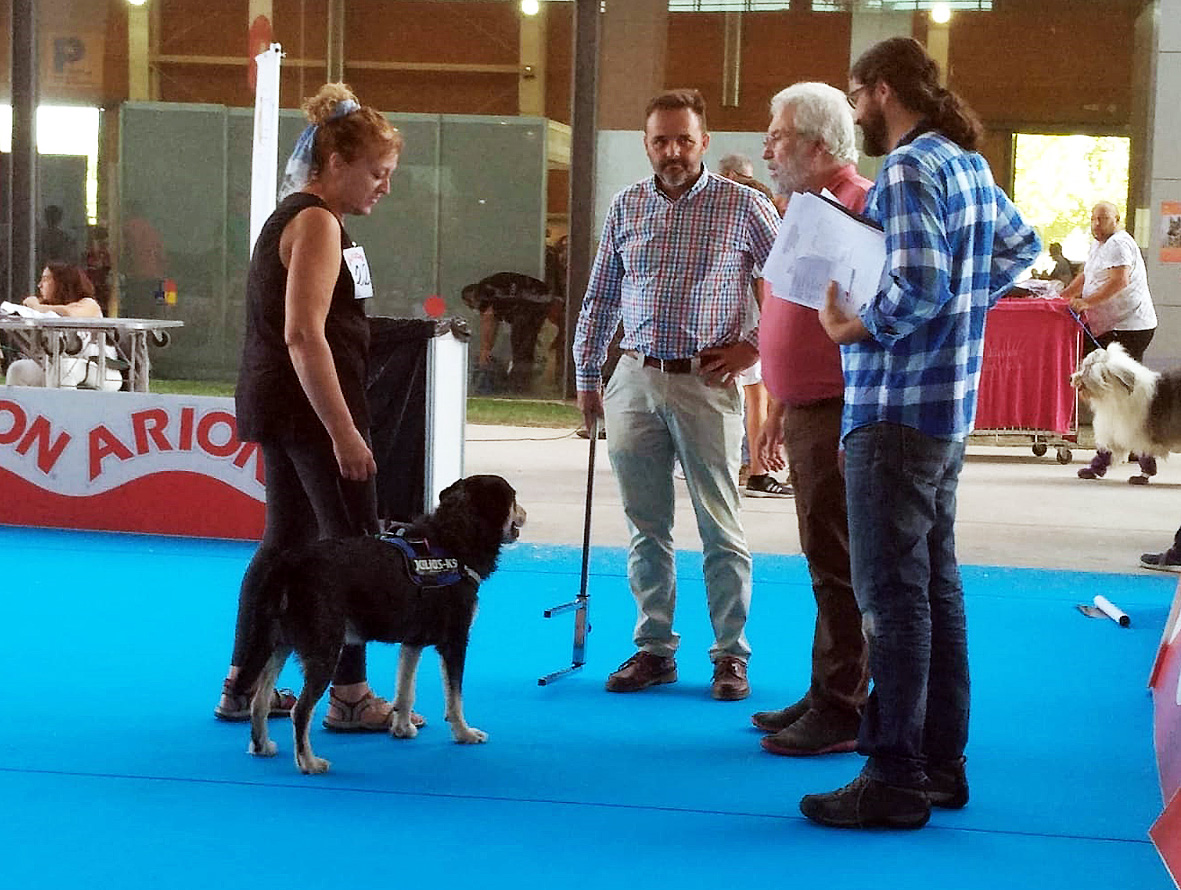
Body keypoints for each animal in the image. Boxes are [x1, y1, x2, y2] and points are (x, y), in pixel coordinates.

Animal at [230, 472, 526, 769]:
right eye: (513, 498)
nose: (524, 513)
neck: (453, 538)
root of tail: (288, 564)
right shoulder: (455, 639)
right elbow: (455, 698)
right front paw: (464, 733)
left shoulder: (413, 641)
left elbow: (405, 690)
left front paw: (402, 728)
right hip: (325, 649)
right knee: (300, 711)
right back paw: (309, 763)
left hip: (277, 643)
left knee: (259, 702)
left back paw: (262, 746)